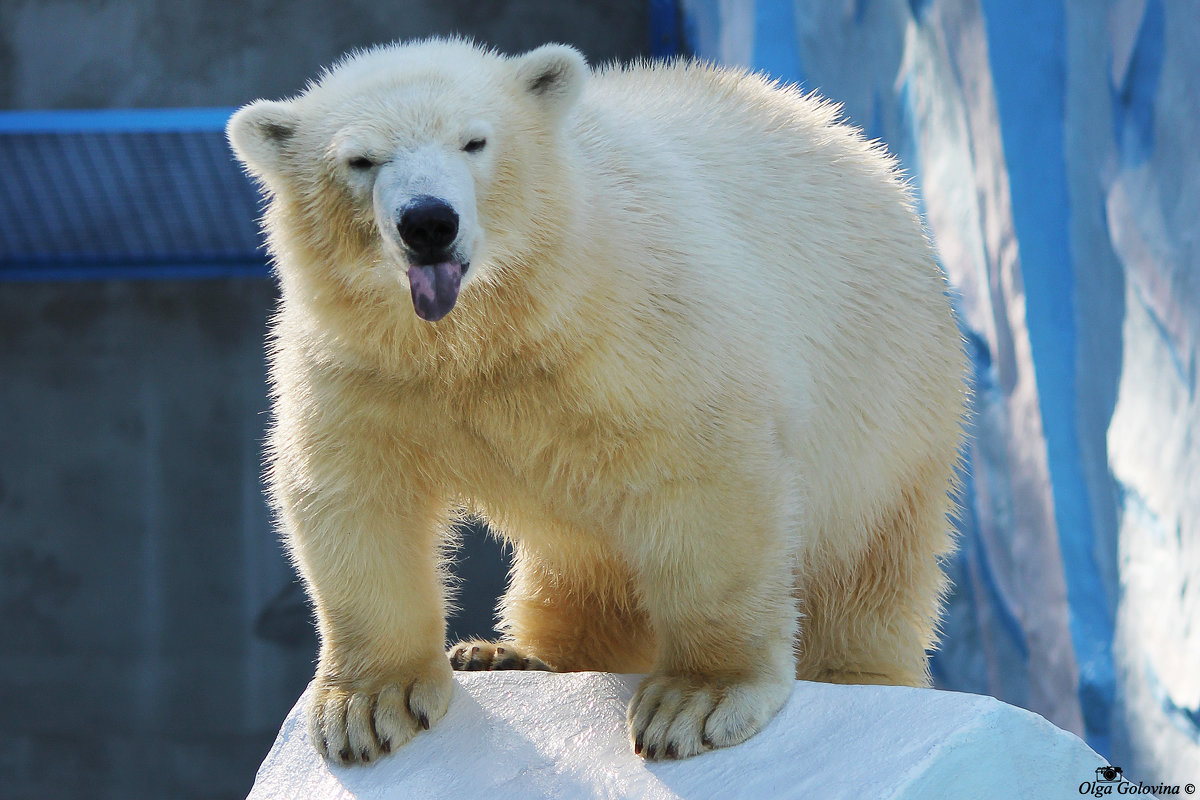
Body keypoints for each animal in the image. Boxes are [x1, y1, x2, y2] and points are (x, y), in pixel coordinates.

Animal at [229, 37, 969, 762]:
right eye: (360, 159)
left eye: (475, 141)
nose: (428, 221)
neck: (484, 329)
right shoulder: (362, 363)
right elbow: (354, 492)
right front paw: (368, 706)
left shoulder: (637, 321)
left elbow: (701, 477)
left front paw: (697, 701)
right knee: (577, 565)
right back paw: (506, 655)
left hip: (885, 404)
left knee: (864, 566)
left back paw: (856, 674)